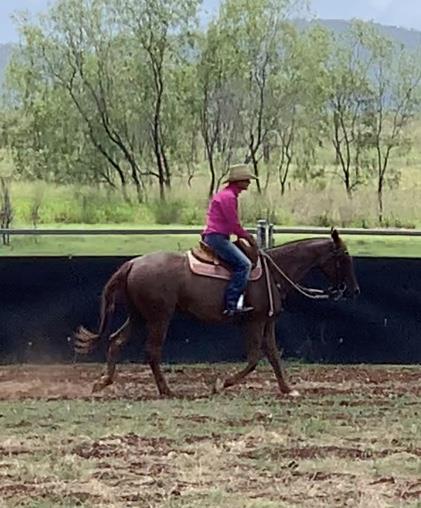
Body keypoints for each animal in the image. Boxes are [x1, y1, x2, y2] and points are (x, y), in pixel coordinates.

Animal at [74, 228, 360, 397]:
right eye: (345, 256)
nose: (355, 290)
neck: (275, 270)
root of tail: (133, 263)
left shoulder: (266, 322)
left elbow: (273, 354)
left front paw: (287, 389)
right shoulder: (254, 321)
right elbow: (254, 357)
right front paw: (223, 383)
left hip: (139, 316)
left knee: (116, 341)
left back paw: (103, 382)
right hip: (159, 317)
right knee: (152, 351)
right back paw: (167, 391)